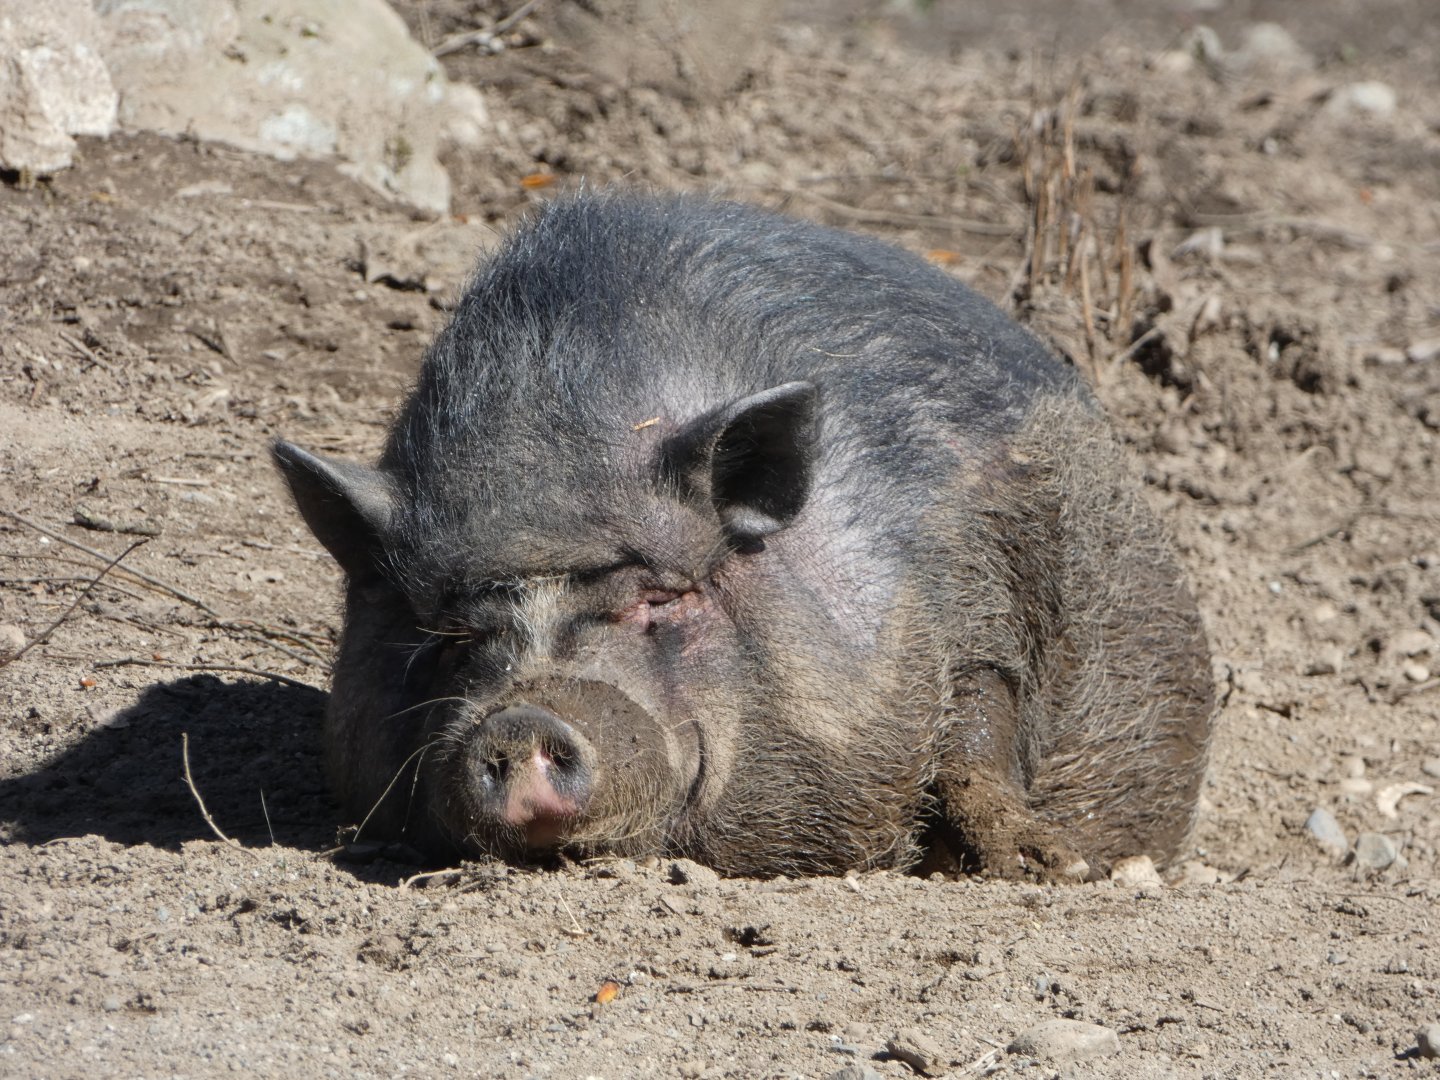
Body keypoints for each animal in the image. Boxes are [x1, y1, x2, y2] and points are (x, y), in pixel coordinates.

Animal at [273, 192, 1213, 879]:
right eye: (453, 635)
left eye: (662, 598)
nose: (520, 720)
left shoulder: (966, 589)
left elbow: (979, 723)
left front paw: (1051, 867)